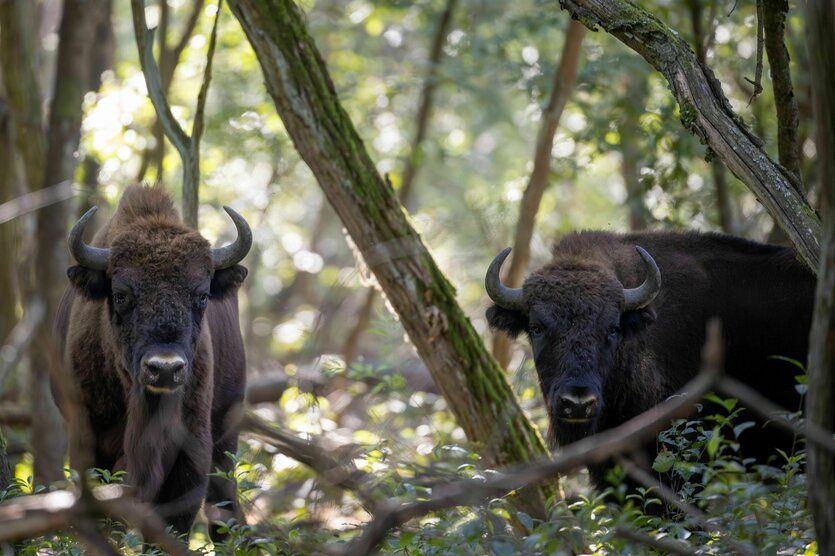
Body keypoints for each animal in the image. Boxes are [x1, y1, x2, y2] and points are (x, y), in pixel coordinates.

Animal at [54, 186, 251, 540]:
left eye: (201, 296)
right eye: (120, 295)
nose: (165, 368)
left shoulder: (192, 452)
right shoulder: (90, 445)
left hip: (227, 432)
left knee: (224, 506)